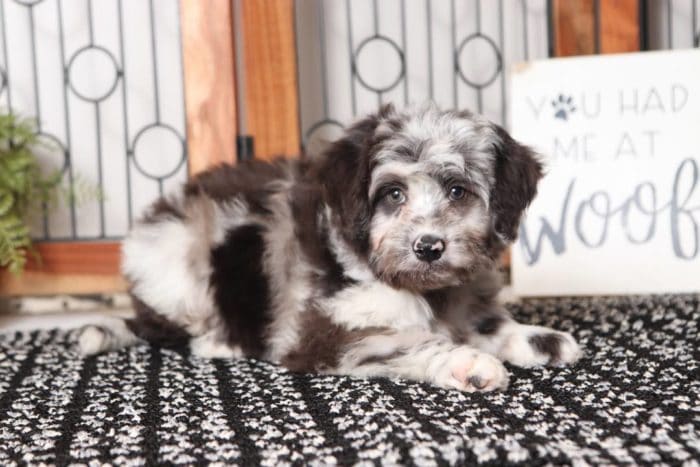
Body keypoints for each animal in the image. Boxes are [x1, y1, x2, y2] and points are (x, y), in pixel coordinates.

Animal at [79, 104, 580, 394]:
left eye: (458, 191)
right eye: (393, 194)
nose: (429, 247)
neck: (424, 290)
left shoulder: (468, 302)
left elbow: (492, 324)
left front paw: (541, 339)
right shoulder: (330, 330)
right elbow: (410, 342)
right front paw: (467, 362)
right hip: (176, 264)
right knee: (163, 330)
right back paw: (218, 342)